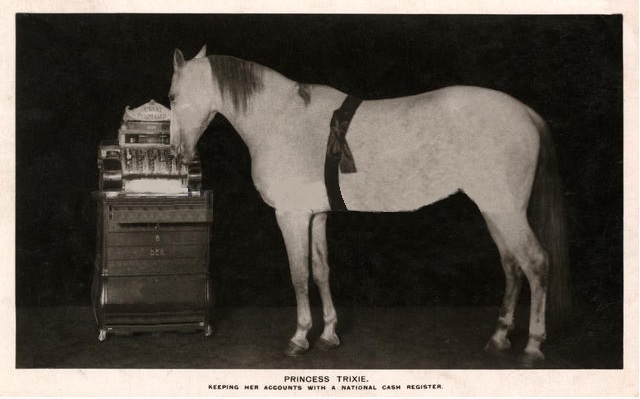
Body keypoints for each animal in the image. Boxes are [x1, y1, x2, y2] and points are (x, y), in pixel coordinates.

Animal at [168, 46, 568, 366]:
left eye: (172, 97)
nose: (178, 155)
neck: (282, 119)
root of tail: (525, 113)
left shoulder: (291, 216)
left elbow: (299, 275)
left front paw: (299, 338)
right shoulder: (317, 215)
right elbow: (321, 271)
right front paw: (328, 334)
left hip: (506, 211)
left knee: (536, 263)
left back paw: (533, 346)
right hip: (494, 210)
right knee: (513, 266)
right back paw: (499, 338)